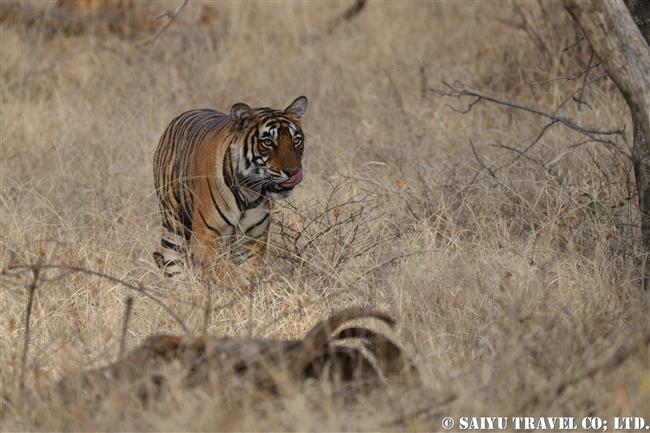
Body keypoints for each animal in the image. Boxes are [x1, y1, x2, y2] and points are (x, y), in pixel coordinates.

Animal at [152, 96, 306, 288]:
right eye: (268, 142)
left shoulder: (252, 239)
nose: (293, 172)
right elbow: (227, 272)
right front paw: (242, 290)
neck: (249, 189)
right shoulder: (206, 236)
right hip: (173, 221)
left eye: (296, 141)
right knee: (174, 263)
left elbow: (247, 270)